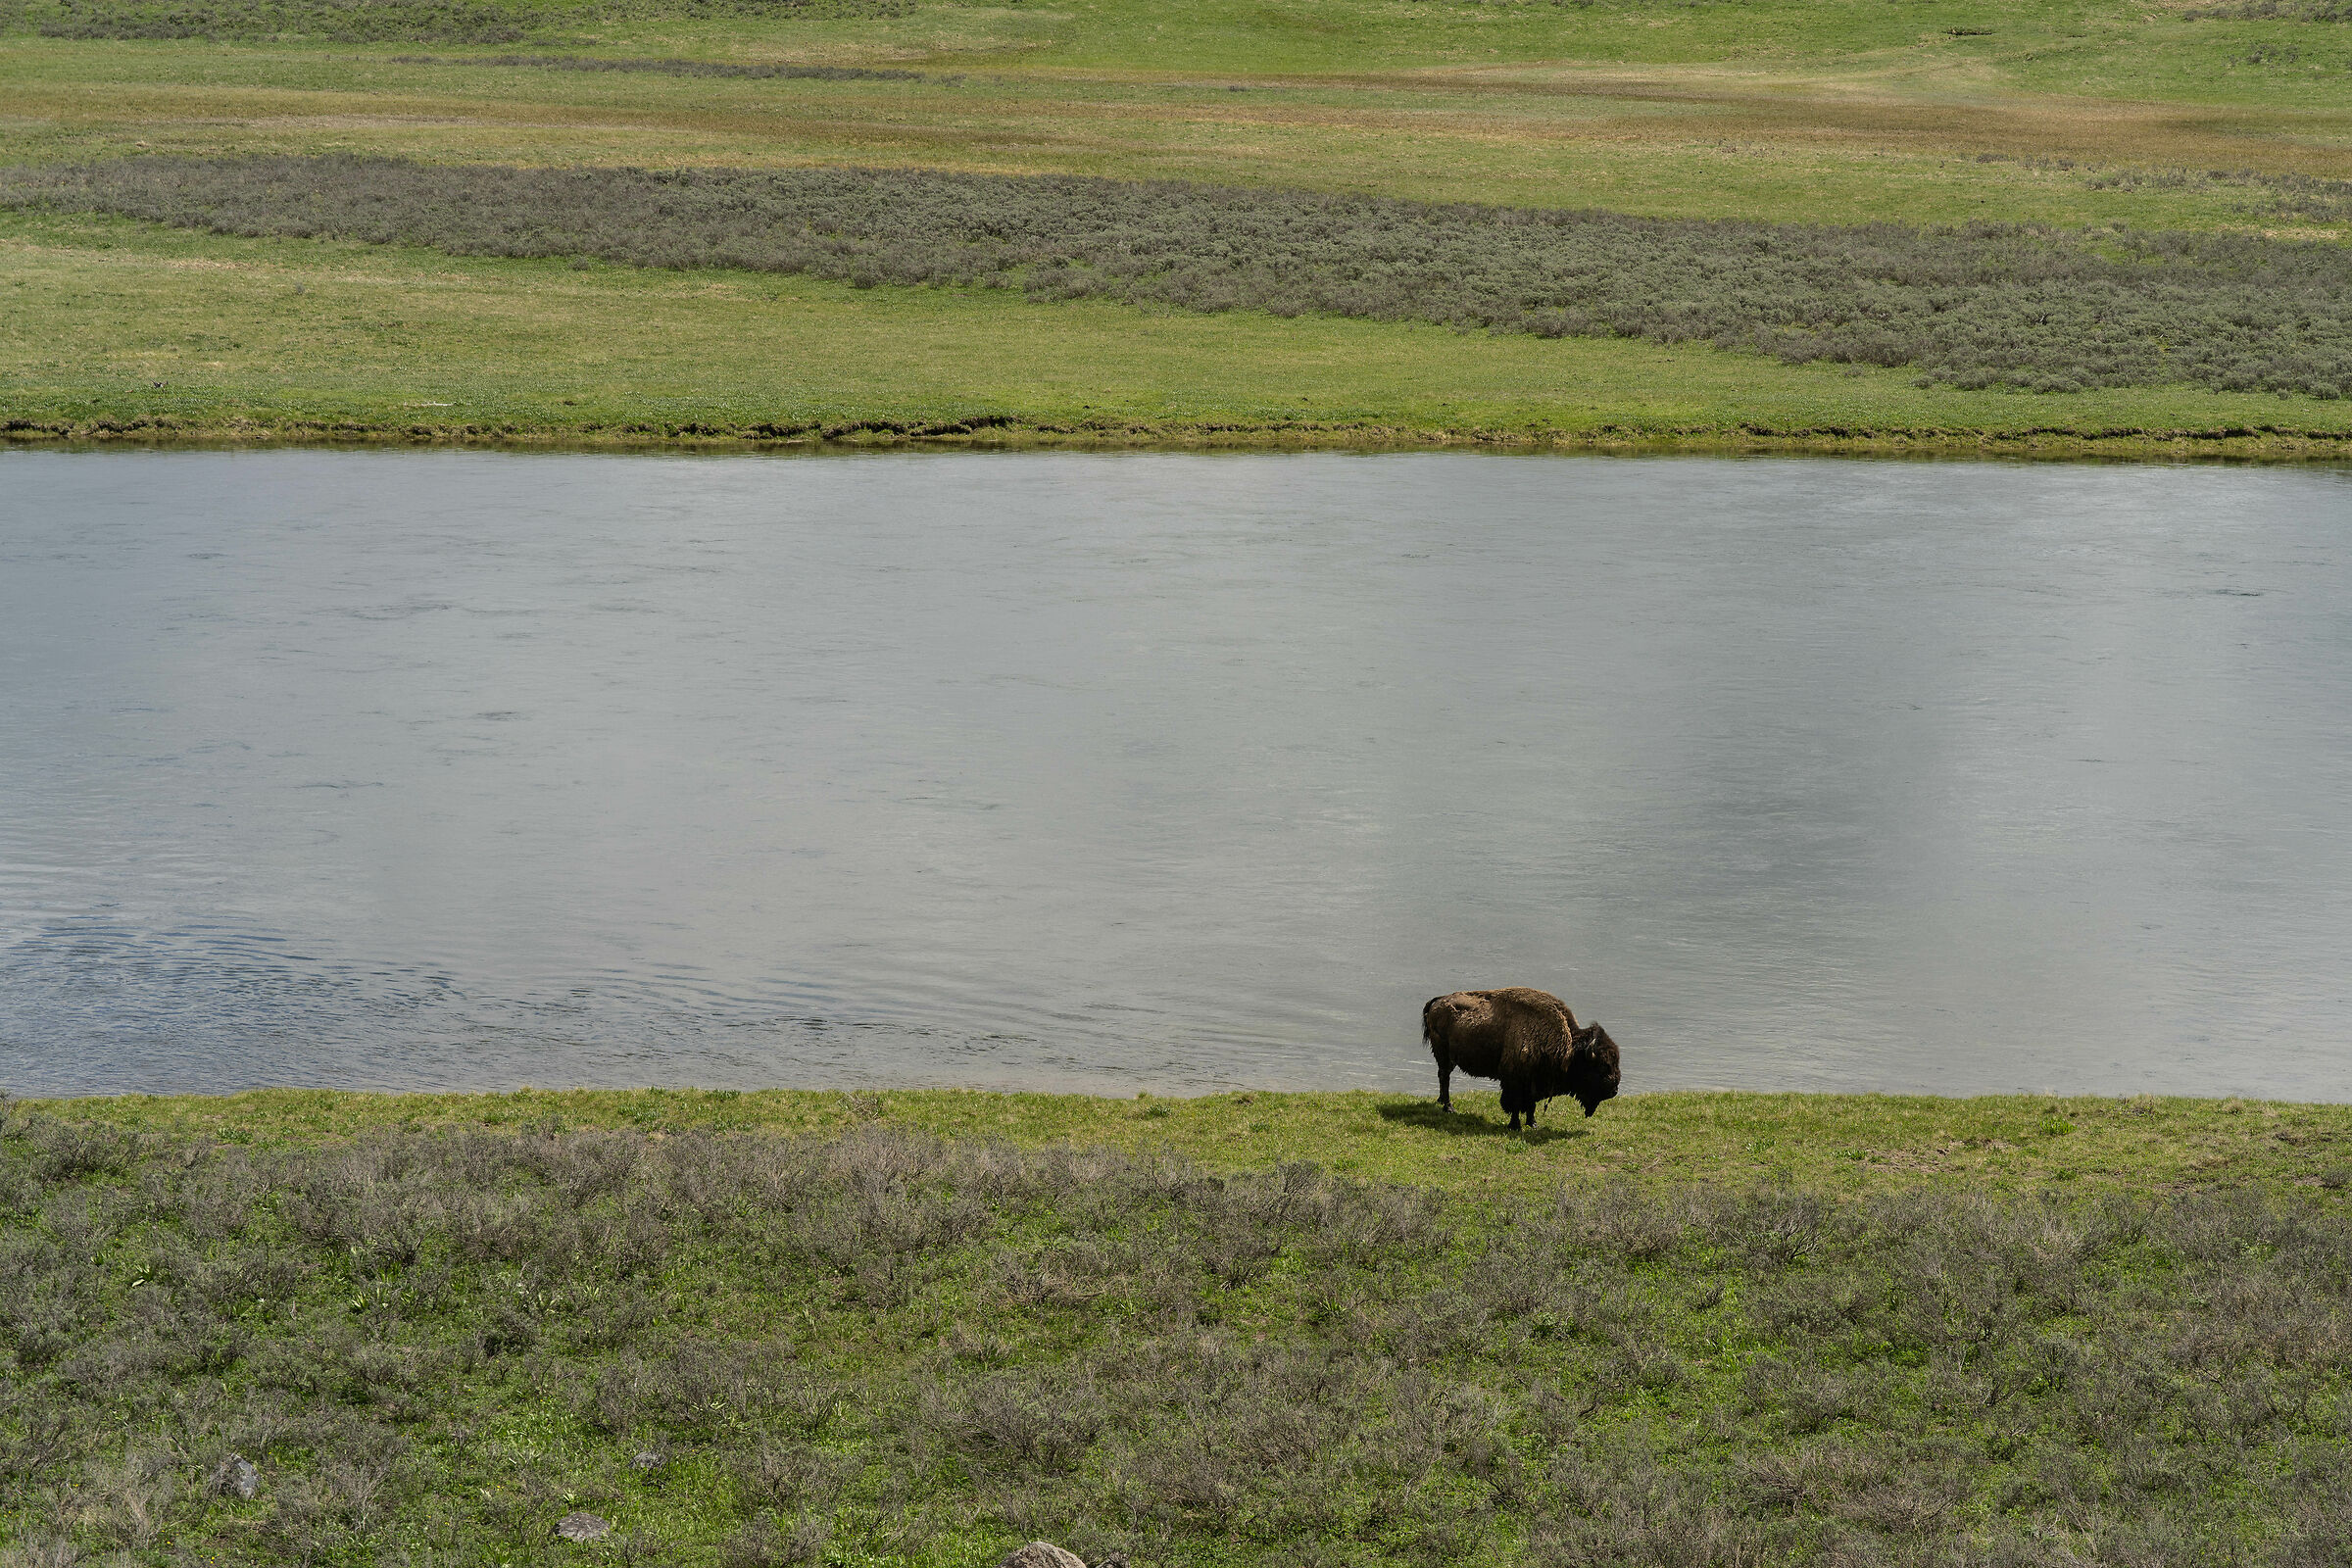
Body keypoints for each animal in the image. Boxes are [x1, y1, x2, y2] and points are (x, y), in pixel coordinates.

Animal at [1421, 987, 1620, 1129]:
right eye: (1601, 1066)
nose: (1614, 1090)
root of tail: (1438, 1001)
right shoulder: (1514, 1080)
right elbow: (1516, 1104)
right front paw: (1515, 1125)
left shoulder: (1534, 1082)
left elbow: (1531, 1105)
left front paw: (1533, 1124)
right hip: (1443, 1054)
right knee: (1444, 1077)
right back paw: (1449, 1108)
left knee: (1443, 1077)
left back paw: (1442, 1102)